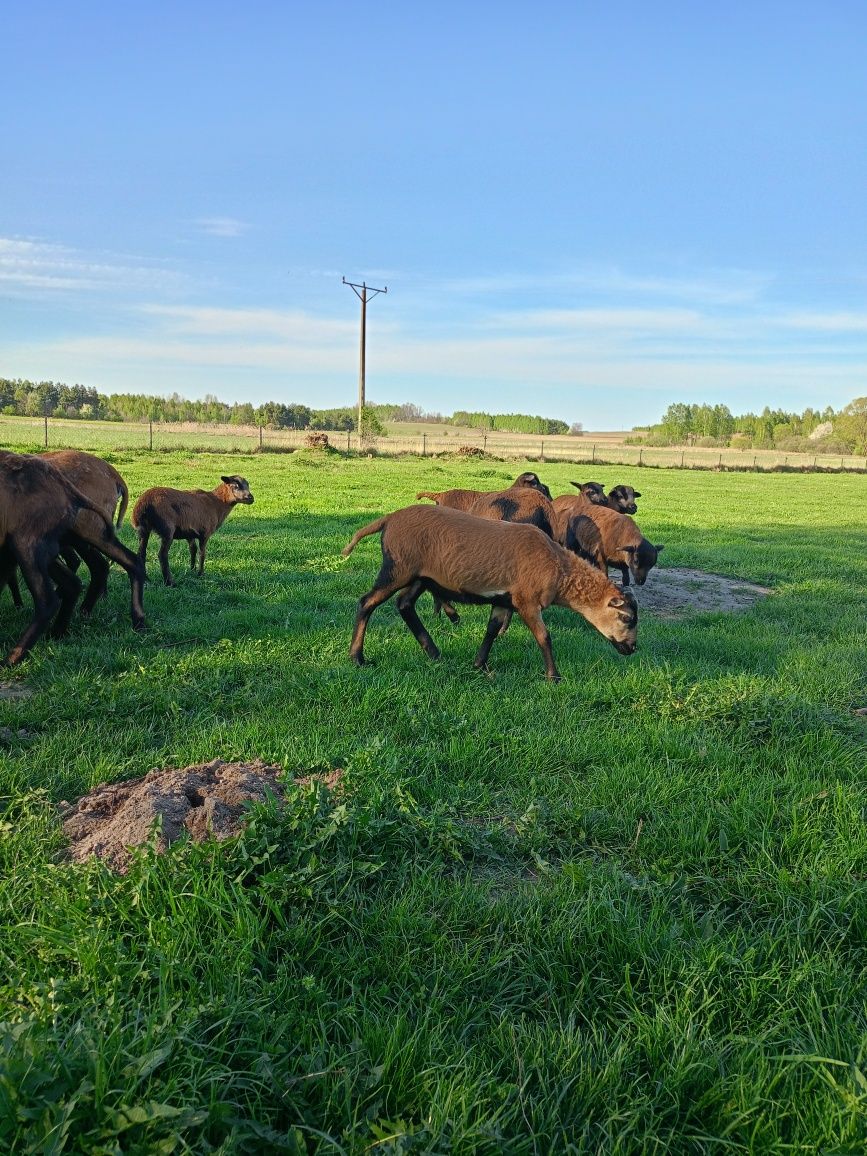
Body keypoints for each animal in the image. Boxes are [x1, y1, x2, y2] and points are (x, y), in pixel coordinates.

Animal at [342, 504, 638, 679]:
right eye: (626, 618)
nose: (632, 648)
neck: (559, 569)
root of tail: (388, 519)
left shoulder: (504, 599)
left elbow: (492, 629)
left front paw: (480, 665)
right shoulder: (526, 600)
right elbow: (544, 637)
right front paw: (554, 677)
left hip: (420, 577)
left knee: (404, 605)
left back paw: (434, 652)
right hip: (397, 568)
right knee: (367, 602)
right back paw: (357, 658)